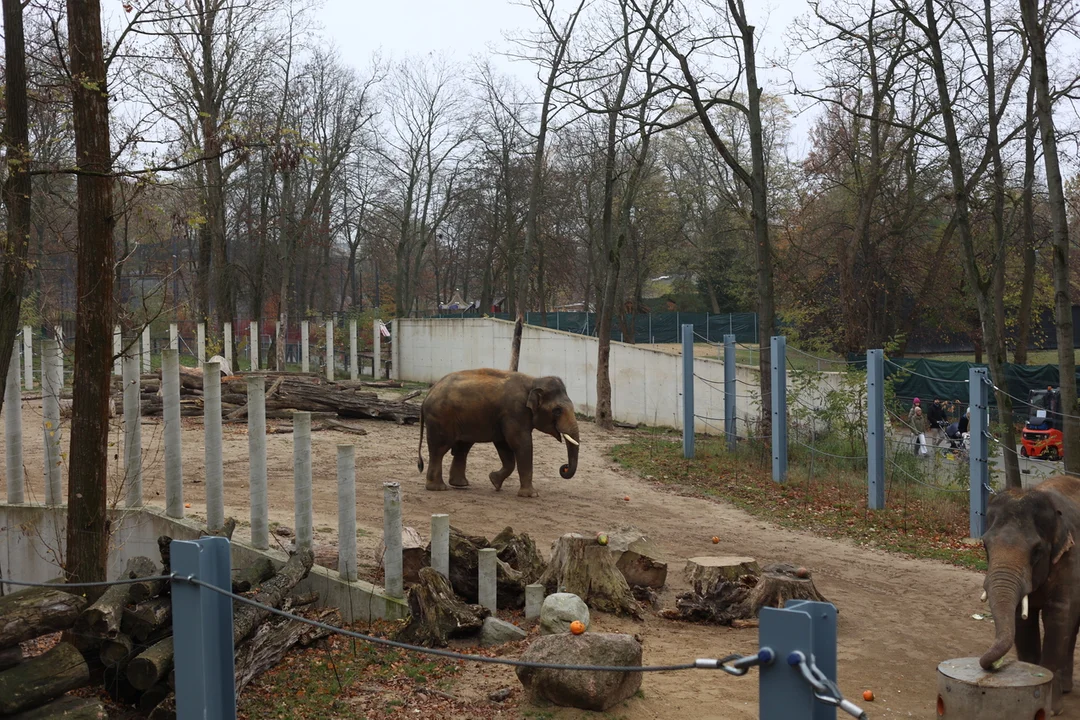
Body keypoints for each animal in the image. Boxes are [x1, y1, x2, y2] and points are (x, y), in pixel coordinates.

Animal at [414, 369, 583, 498]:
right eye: (557, 410)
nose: (564, 467)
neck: (534, 381)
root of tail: (427, 395)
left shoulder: (504, 418)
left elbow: (504, 446)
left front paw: (494, 481)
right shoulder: (515, 412)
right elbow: (521, 444)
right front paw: (531, 495)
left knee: (462, 448)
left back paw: (460, 484)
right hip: (440, 418)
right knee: (439, 450)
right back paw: (438, 488)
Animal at [980, 472, 1080, 716]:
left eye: (1037, 551)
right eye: (985, 545)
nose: (991, 666)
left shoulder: (1070, 558)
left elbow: (1059, 617)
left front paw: (1052, 710)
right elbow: (1022, 620)